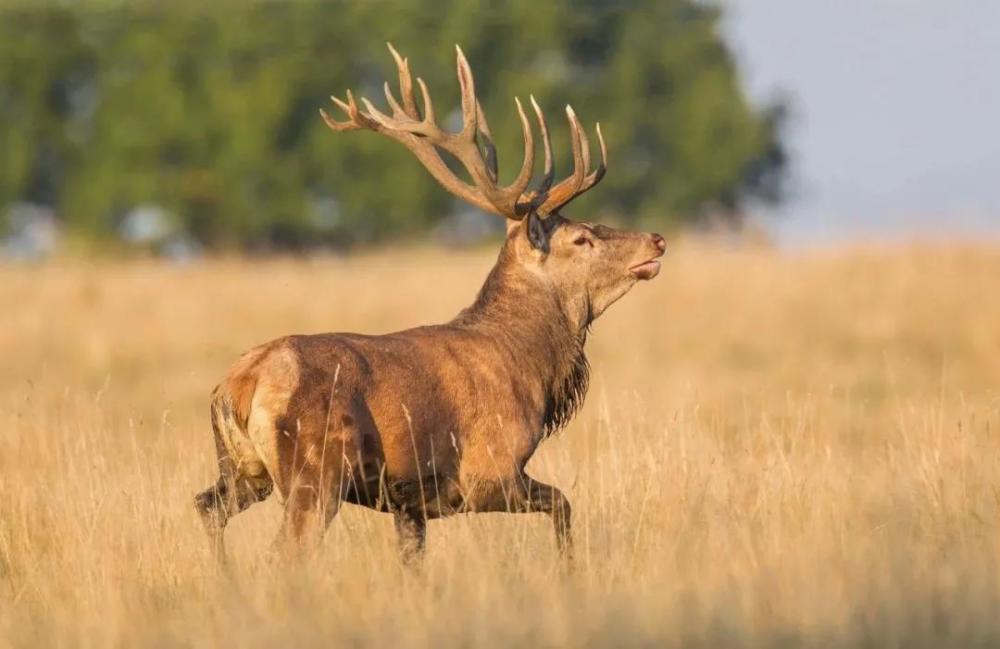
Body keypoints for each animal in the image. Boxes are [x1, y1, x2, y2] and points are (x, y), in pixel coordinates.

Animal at [194, 44, 664, 560]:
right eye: (581, 238)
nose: (656, 240)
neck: (533, 372)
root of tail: (238, 385)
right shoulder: (488, 472)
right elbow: (563, 504)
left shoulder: (409, 504)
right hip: (314, 471)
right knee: (283, 550)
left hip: (243, 469)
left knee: (207, 506)